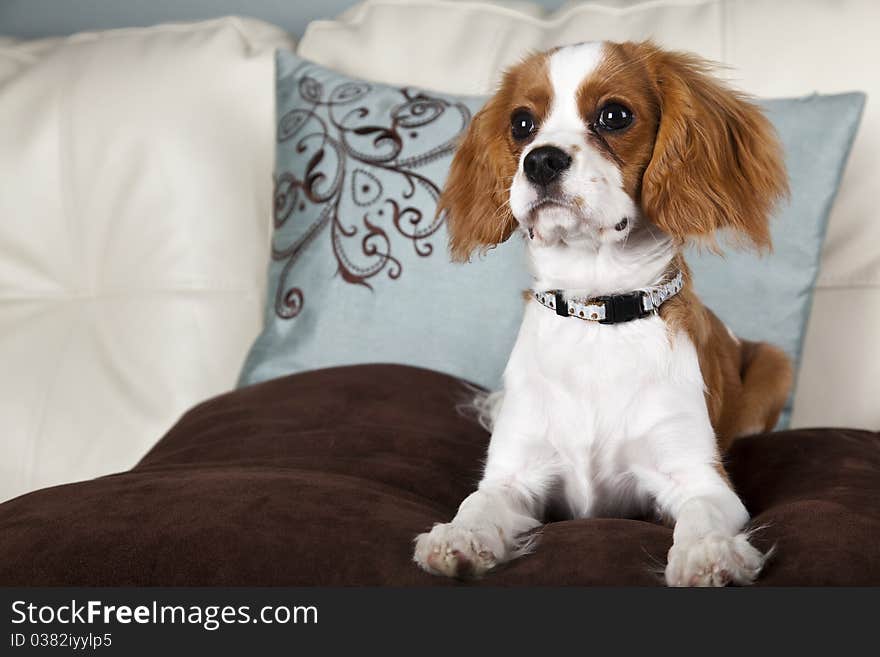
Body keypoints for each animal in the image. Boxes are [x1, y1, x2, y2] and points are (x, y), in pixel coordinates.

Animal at [410, 41, 792, 584]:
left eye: (614, 115)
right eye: (522, 124)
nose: (540, 161)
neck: (594, 313)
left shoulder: (700, 478)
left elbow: (701, 513)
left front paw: (709, 552)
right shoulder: (516, 475)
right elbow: (477, 503)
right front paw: (458, 537)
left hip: (776, 364)